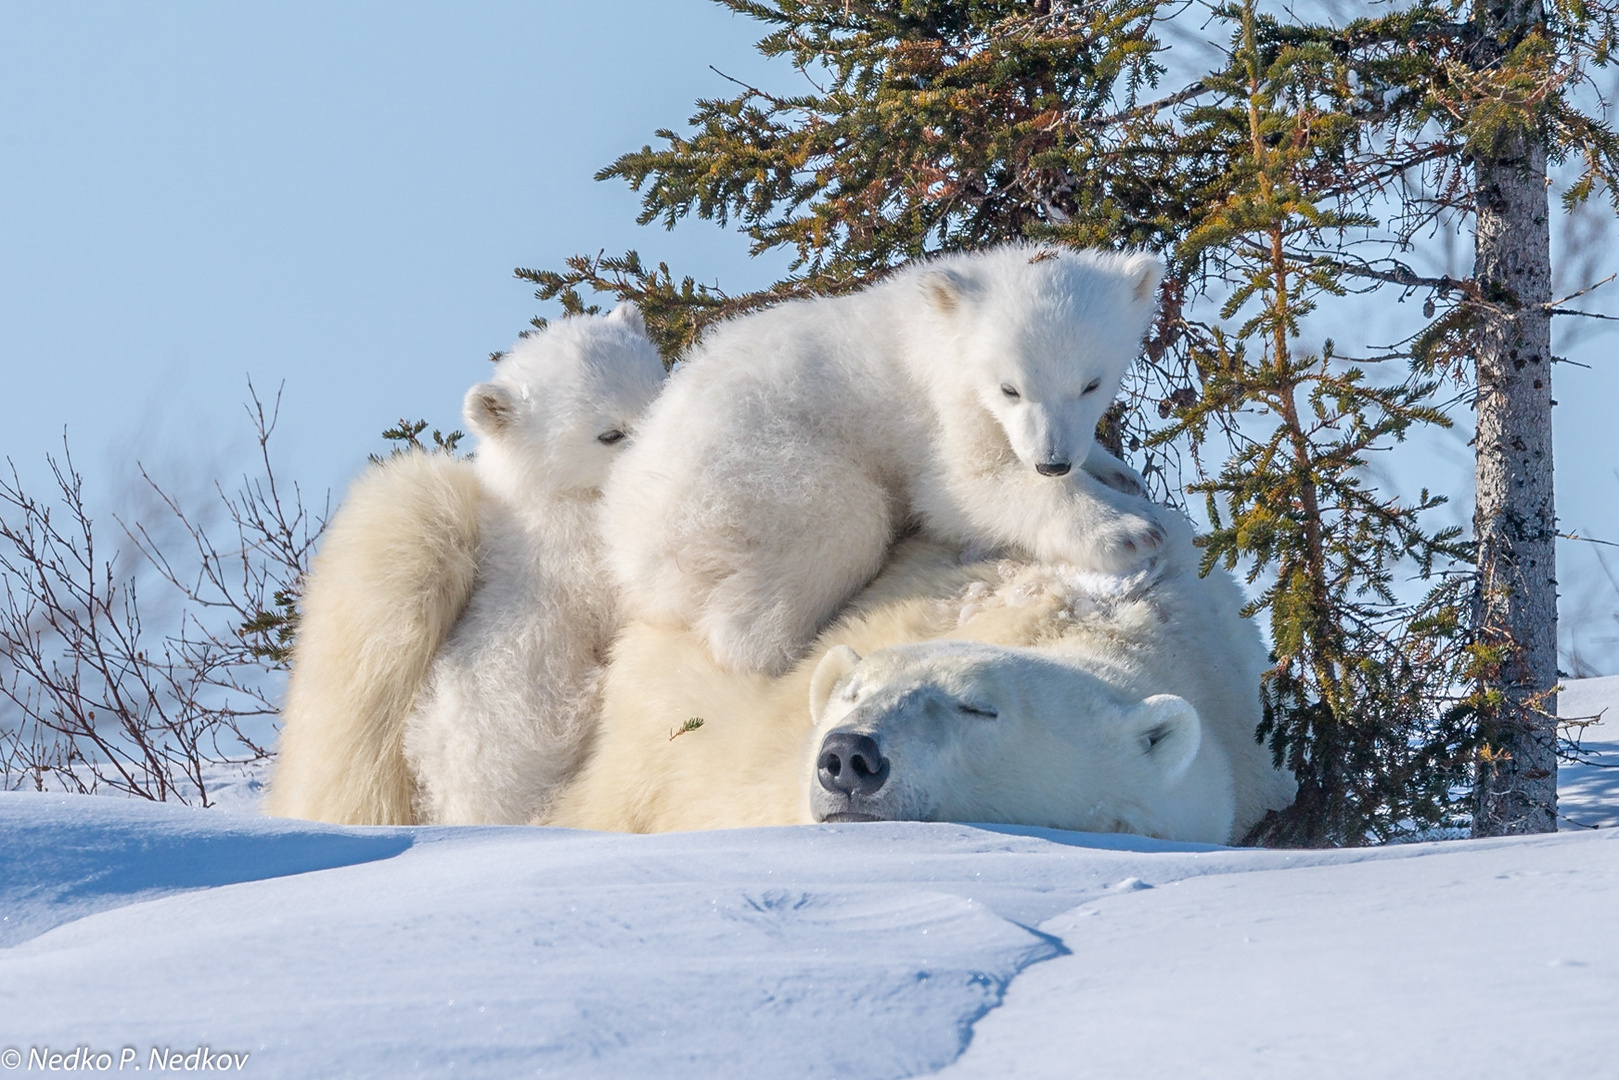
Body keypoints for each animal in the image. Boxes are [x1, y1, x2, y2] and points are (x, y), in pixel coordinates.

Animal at [602, 242, 1185, 676]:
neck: (940, 323)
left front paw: (1119, 474)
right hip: (753, 473)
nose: (1053, 461)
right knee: (841, 524)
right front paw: (1128, 530)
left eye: (1091, 383)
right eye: (1010, 388)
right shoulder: (945, 404)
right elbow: (963, 487)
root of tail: (629, 542)